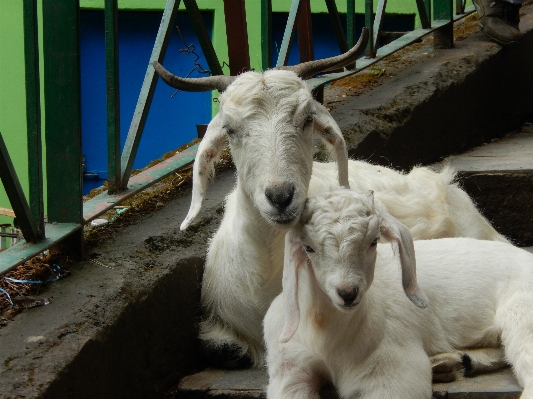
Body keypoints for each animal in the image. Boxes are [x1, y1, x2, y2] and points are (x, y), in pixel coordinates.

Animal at [264, 189, 528, 398]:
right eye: (308, 248)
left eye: (373, 241)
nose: (347, 293)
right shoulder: (290, 367)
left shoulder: (392, 366)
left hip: (521, 313)